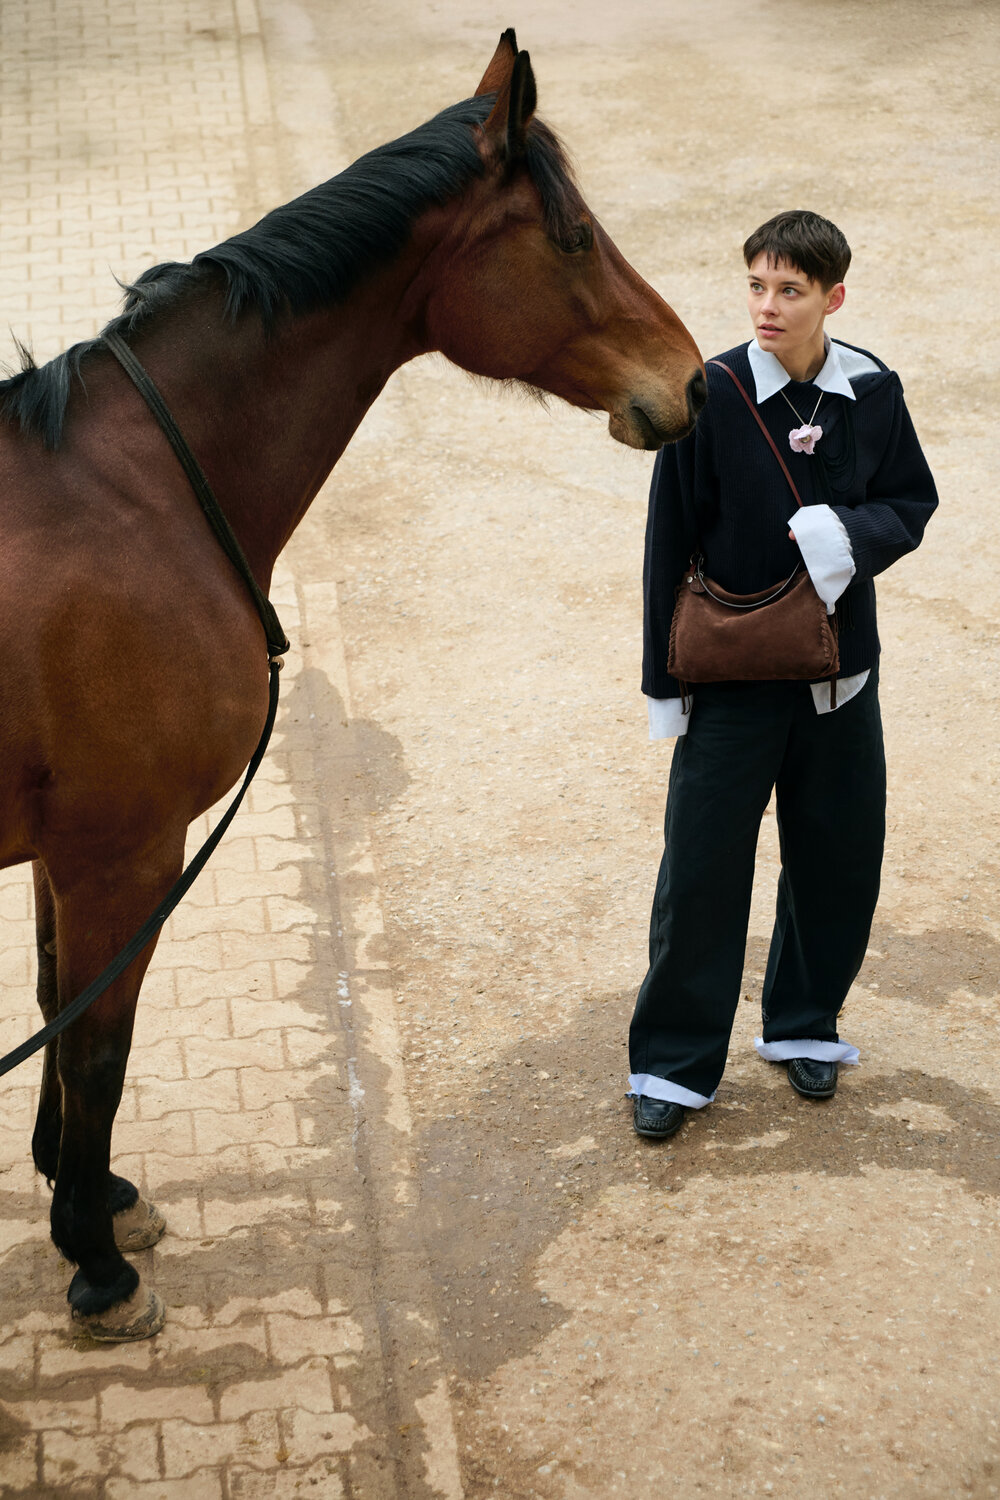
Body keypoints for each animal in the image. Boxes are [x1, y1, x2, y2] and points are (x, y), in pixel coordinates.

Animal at [0, 30, 704, 1341]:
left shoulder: (69, 859)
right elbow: (97, 1049)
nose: (686, 381)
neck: (136, 494)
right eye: (574, 237)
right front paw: (98, 1266)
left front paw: (95, 1195)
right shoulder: (121, 853)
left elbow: (60, 1011)